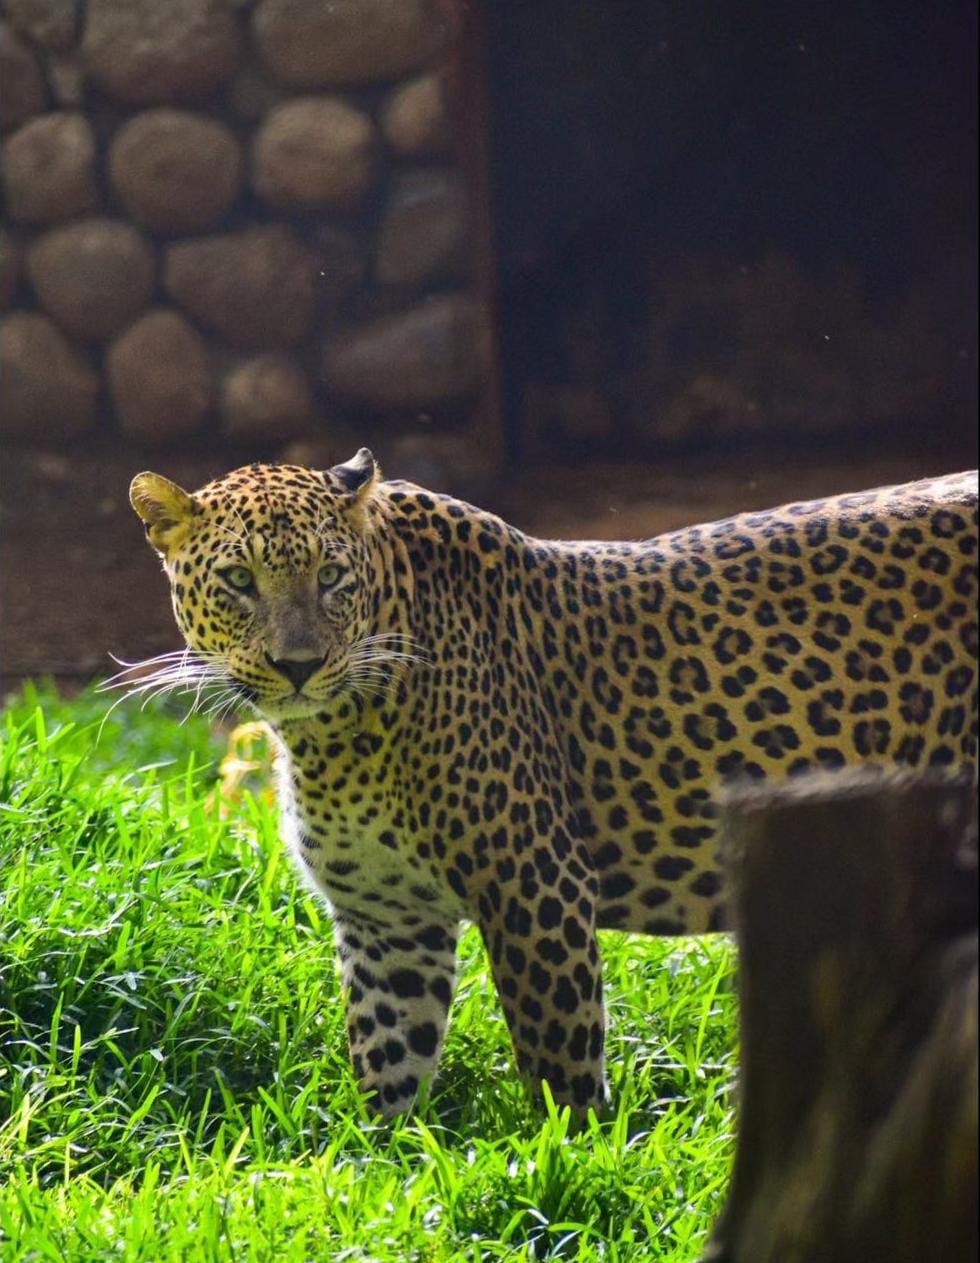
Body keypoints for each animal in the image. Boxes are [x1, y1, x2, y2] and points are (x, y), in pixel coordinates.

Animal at [130, 452, 980, 1116]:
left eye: (331, 576)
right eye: (239, 580)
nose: (300, 664)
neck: (331, 736)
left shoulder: (536, 885)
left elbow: (558, 1059)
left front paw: (571, 1160)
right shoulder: (387, 920)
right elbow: (388, 1065)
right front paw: (377, 1170)